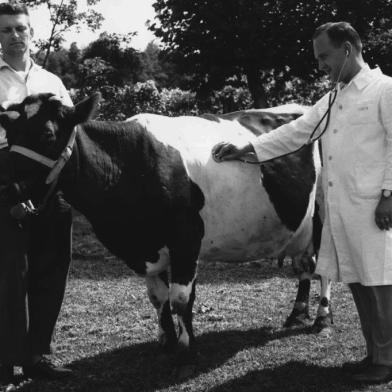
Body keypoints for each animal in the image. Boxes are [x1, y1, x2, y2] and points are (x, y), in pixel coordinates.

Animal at [0, 92, 332, 358]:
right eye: (10, 135)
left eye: (47, 135)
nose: (6, 186)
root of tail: (304, 106)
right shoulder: (149, 248)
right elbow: (159, 298)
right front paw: (168, 340)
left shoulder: (186, 239)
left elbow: (180, 298)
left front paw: (187, 346)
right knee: (304, 266)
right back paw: (297, 313)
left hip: (324, 214)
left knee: (322, 267)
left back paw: (321, 317)